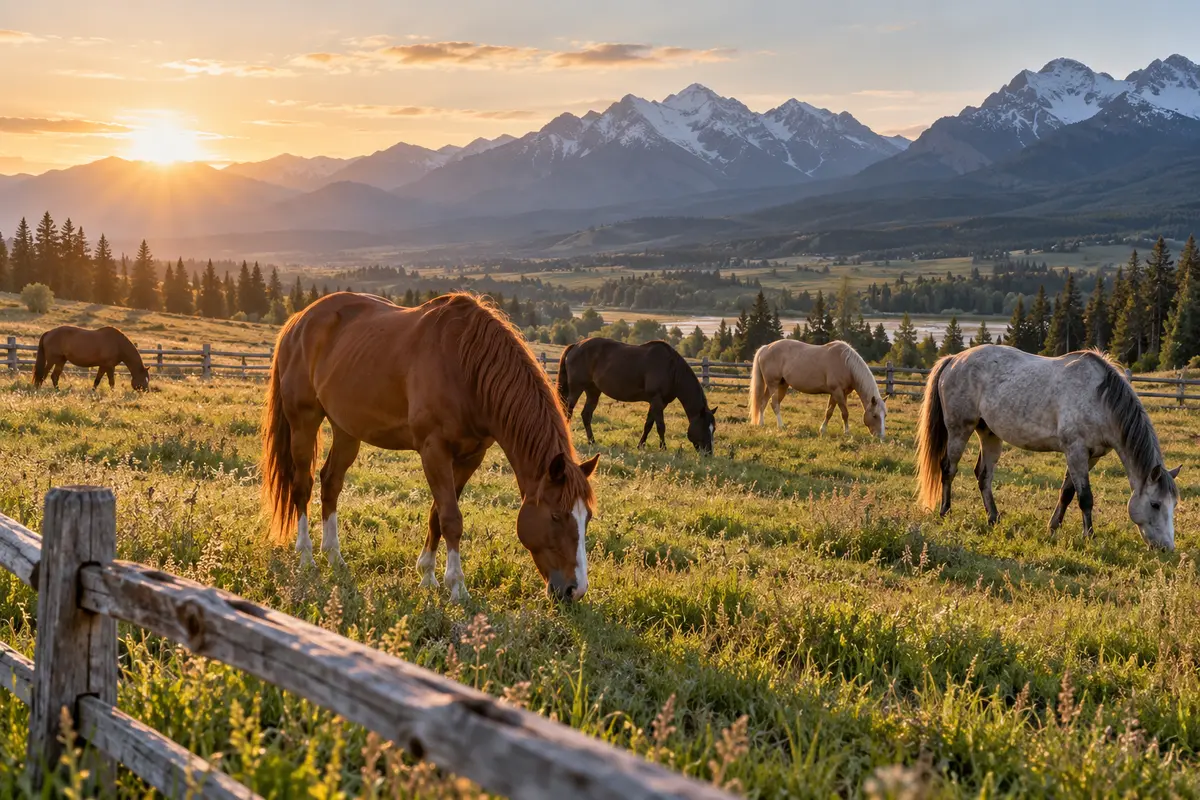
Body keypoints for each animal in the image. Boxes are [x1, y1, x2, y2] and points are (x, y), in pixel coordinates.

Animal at [262, 292, 600, 602]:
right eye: (555, 516)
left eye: (587, 519)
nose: (575, 590)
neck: (467, 367)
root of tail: (299, 320)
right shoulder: (433, 450)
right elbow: (451, 518)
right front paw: (457, 587)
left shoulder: (470, 457)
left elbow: (437, 514)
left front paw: (427, 575)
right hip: (303, 422)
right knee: (302, 485)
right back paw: (306, 555)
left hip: (346, 430)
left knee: (330, 482)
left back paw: (334, 555)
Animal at [556, 338, 717, 454]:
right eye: (704, 426)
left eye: (713, 429)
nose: (708, 453)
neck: (672, 369)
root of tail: (576, 345)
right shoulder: (657, 400)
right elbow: (660, 426)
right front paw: (663, 448)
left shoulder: (658, 402)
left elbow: (648, 424)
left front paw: (641, 445)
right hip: (576, 389)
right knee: (568, 410)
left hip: (593, 391)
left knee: (586, 415)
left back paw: (592, 441)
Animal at [749, 339, 885, 438]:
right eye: (874, 415)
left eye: (885, 415)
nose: (881, 436)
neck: (846, 364)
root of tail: (765, 348)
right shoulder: (837, 392)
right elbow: (845, 413)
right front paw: (847, 432)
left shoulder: (838, 394)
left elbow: (829, 412)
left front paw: (823, 430)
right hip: (773, 385)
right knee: (774, 404)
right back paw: (781, 426)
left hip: (781, 385)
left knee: (763, 403)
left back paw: (761, 424)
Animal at [916, 345, 1181, 549]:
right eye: (1155, 504)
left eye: (1174, 504)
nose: (1166, 548)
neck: (1099, 399)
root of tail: (953, 360)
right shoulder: (1075, 451)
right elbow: (1085, 497)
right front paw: (1089, 536)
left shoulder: (1089, 456)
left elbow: (1067, 492)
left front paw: (1053, 527)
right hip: (959, 429)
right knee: (948, 469)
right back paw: (945, 512)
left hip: (989, 433)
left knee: (983, 476)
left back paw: (993, 518)